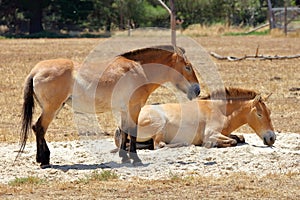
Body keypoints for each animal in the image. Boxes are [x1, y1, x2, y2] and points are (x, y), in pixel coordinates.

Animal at [19, 45, 202, 167]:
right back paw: (44, 160)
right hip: (52, 108)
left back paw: (43, 159)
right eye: (187, 67)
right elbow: (132, 132)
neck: (139, 70)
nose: (197, 90)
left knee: (38, 128)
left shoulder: (124, 110)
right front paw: (135, 159)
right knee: (40, 128)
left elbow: (124, 132)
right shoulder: (134, 107)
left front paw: (124, 157)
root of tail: (35, 71)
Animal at [113, 87, 276, 148]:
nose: (271, 138)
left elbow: (239, 138)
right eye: (259, 114)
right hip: (159, 124)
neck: (220, 110)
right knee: (160, 144)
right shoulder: (210, 134)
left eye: (270, 112)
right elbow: (232, 141)